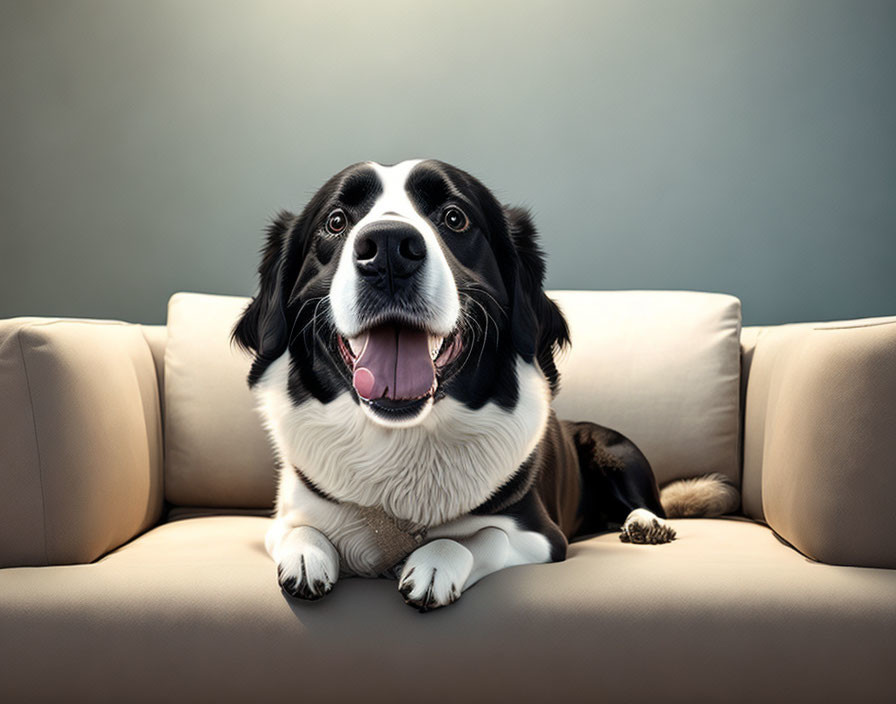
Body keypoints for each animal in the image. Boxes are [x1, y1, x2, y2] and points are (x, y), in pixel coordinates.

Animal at [233, 160, 744, 612]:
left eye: (454, 218)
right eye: (336, 221)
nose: (389, 249)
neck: (401, 438)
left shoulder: (542, 536)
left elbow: (484, 536)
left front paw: (436, 562)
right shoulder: (288, 514)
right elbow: (298, 528)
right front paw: (306, 554)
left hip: (613, 449)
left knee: (646, 502)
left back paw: (644, 523)